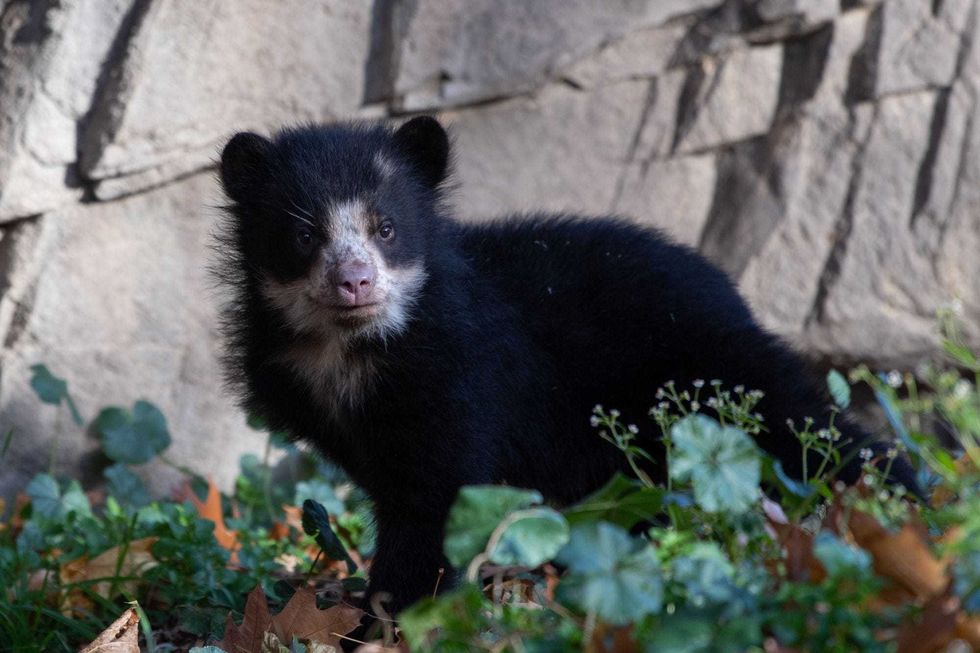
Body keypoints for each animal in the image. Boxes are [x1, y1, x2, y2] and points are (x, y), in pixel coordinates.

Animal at [215, 116, 915, 616]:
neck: (355, 351)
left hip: (711, 370)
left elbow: (435, 500)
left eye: (385, 227)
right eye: (304, 235)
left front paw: (385, 616)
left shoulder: (459, 378)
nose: (355, 282)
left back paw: (897, 504)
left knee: (811, 431)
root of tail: (732, 295)